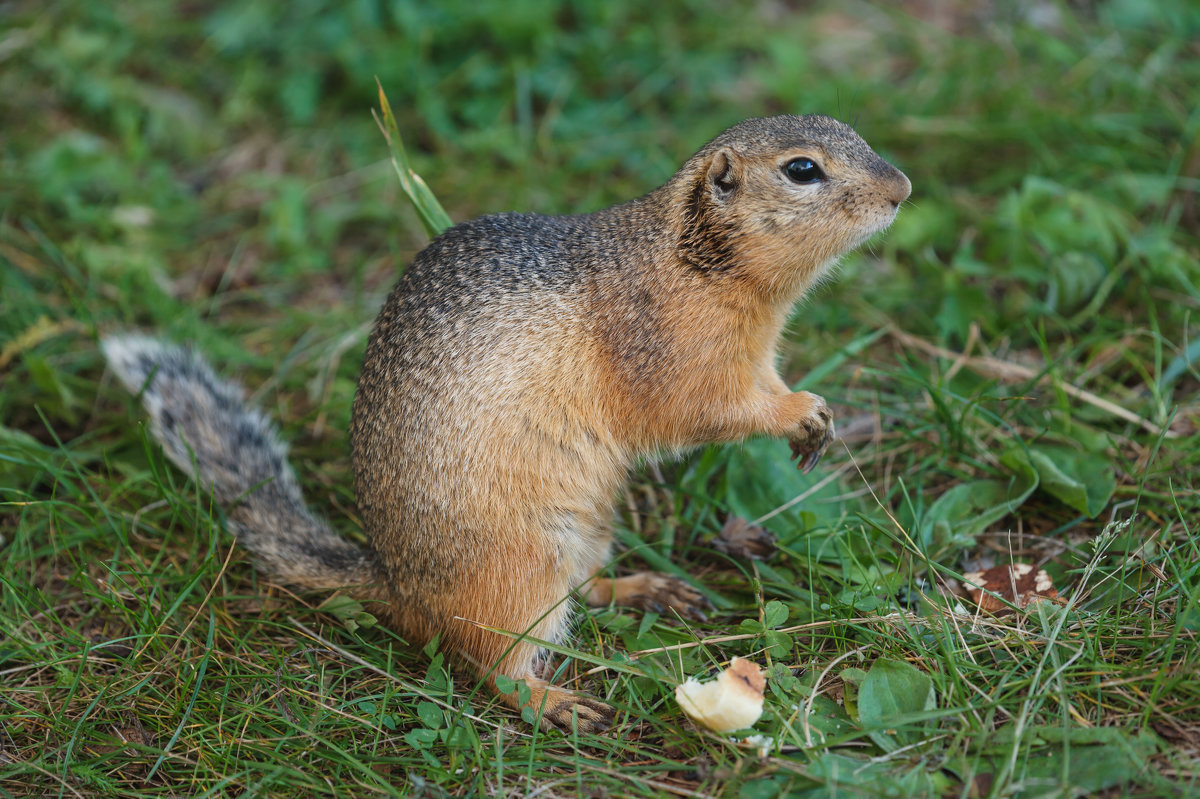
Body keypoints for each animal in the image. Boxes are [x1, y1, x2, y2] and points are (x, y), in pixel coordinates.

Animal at [105, 115, 907, 729]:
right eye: (802, 169)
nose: (901, 190)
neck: (692, 259)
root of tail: (397, 585)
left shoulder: (755, 354)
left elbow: (762, 387)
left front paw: (816, 415)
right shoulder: (671, 352)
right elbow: (706, 409)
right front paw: (800, 412)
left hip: (584, 531)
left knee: (581, 594)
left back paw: (645, 589)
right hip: (520, 567)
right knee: (491, 662)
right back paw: (554, 702)